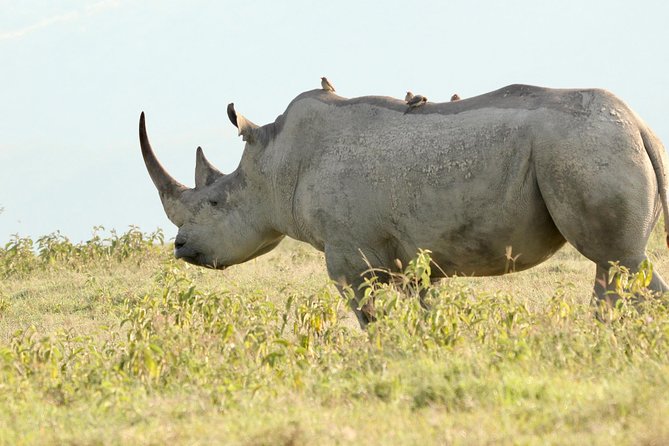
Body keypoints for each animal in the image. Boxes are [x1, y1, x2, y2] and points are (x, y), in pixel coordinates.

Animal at [139, 83, 669, 328]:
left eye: (213, 201)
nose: (180, 248)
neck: (275, 166)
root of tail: (640, 124)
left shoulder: (348, 257)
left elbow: (371, 317)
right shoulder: (413, 255)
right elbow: (425, 309)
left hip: (583, 147)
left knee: (615, 259)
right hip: (591, 145)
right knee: (616, 264)